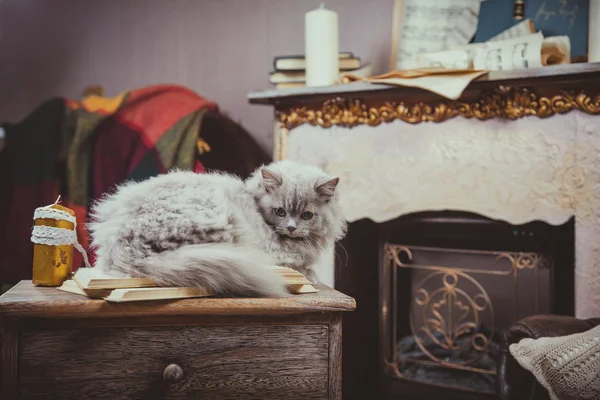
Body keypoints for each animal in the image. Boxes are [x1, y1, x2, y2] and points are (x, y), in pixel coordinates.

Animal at [86, 160, 344, 296]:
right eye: (280, 211)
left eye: (306, 215)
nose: (291, 227)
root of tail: (123, 245)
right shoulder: (275, 252)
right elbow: (299, 266)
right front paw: (310, 275)